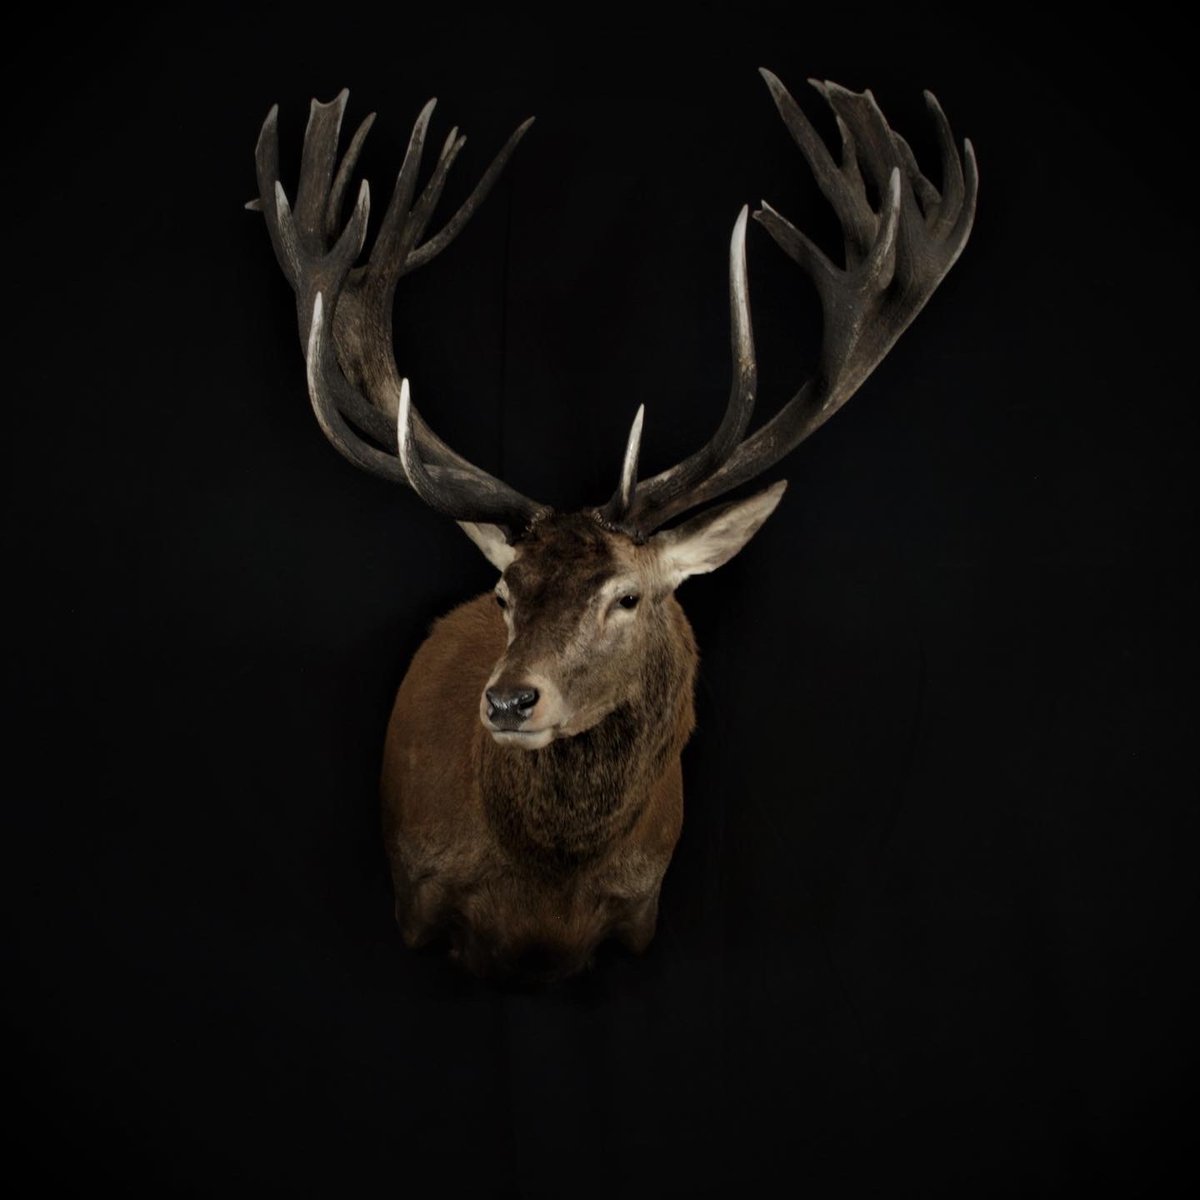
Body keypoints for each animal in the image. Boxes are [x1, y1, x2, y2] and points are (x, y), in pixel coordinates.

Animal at [249, 68, 977, 981]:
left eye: (626, 597)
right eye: (504, 592)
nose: (510, 700)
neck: (545, 893)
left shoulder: (640, 915)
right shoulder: (418, 901)